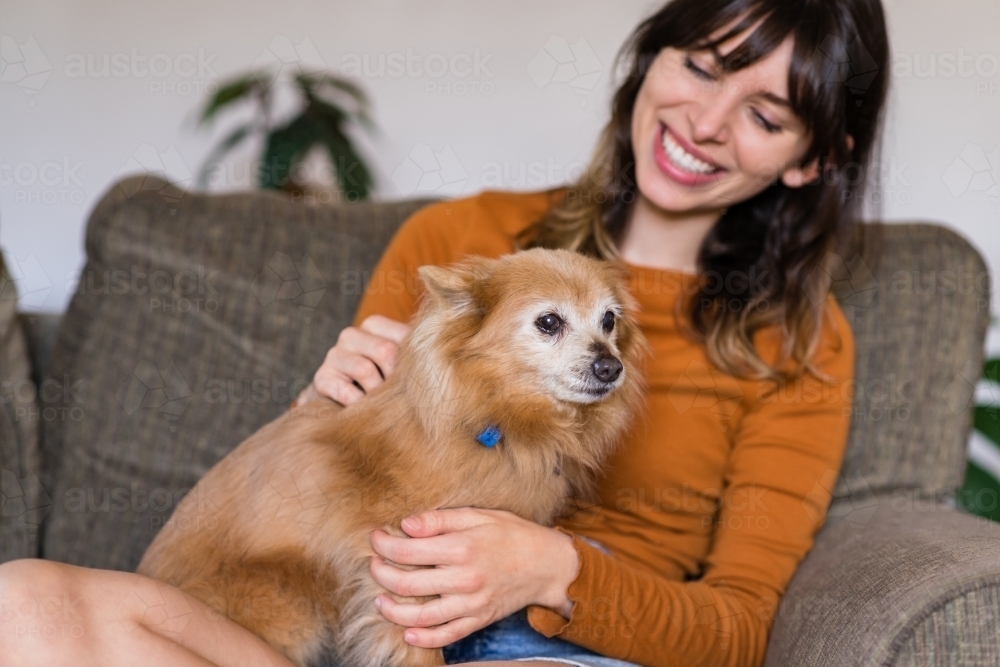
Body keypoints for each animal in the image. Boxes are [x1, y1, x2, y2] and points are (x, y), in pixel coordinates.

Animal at [139, 249, 648, 667]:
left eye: (609, 321)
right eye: (548, 322)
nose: (611, 366)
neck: (500, 420)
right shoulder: (406, 572)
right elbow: (419, 650)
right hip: (287, 602)